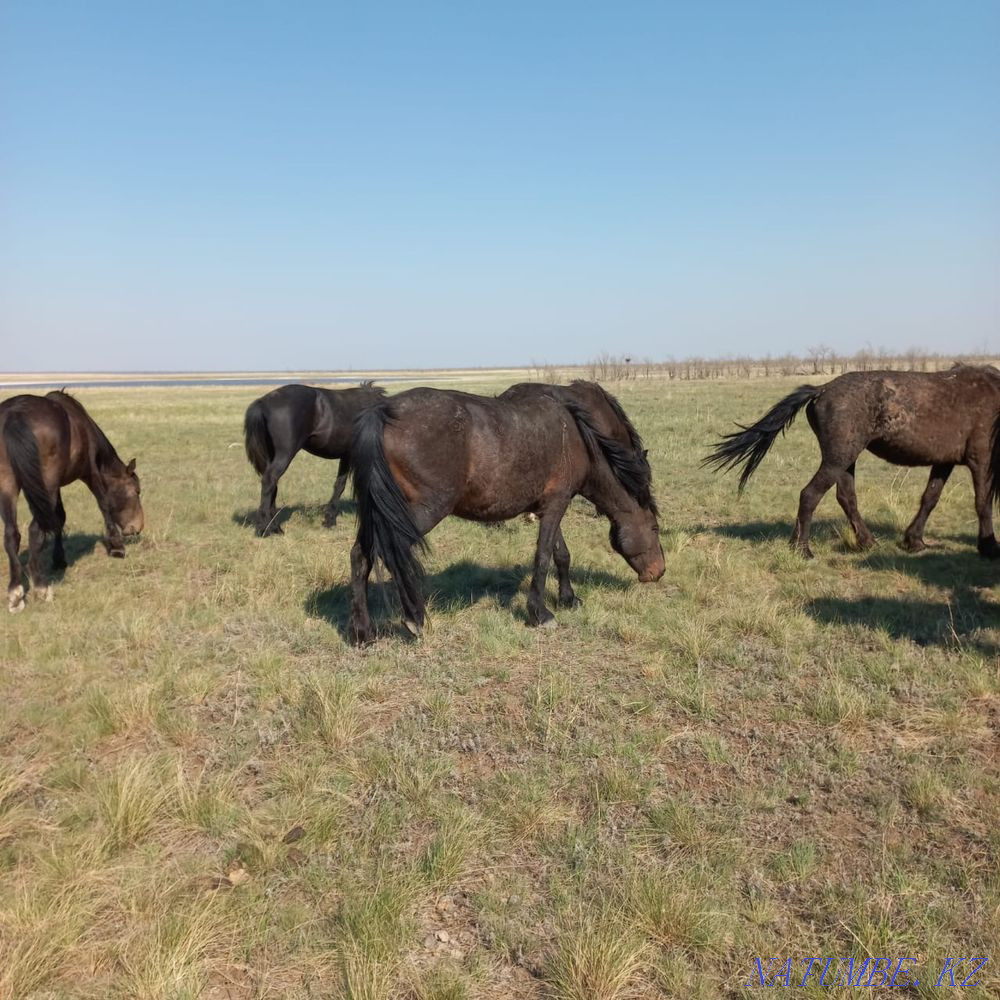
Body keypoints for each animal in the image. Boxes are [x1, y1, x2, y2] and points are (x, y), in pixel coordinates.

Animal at [0, 391, 143, 612]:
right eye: (137, 491)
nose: (138, 527)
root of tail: (15, 414)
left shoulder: (55, 488)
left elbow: (59, 518)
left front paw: (59, 559)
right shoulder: (91, 473)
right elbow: (104, 504)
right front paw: (117, 546)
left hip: (9, 483)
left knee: (11, 534)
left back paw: (15, 593)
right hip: (46, 482)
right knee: (34, 530)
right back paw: (41, 587)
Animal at [243, 381, 386, 536]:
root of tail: (263, 402)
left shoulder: (346, 456)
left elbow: (339, 485)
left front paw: (329, 520)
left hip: (272, 455)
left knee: (272, 485)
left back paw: (275, 527)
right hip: (284, 455)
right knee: (269, 481)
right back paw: (265, 529)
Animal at [347, 385, 664, 644]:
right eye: (655, 528)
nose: (658, 572)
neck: (577, 433)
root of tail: (382, 413)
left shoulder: (550, 506)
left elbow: (561, 554)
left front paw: (568, 598)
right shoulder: (557, 504)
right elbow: (543, 557)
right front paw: (540, 613)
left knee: (360, 555)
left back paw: (364, 632)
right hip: (419, 512)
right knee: (389, 554)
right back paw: (413, 619)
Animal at [704, 365, 1000, 559]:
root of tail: (822, 390)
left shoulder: (944, 461)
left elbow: (930, 498)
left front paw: (914, 540)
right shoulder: (982, 460)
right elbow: (982, 504)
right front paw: (989, 547)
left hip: (846, 460)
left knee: (846, 497)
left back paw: (865, 542)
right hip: (839, 458)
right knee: (810, 495)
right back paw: (803, 549)